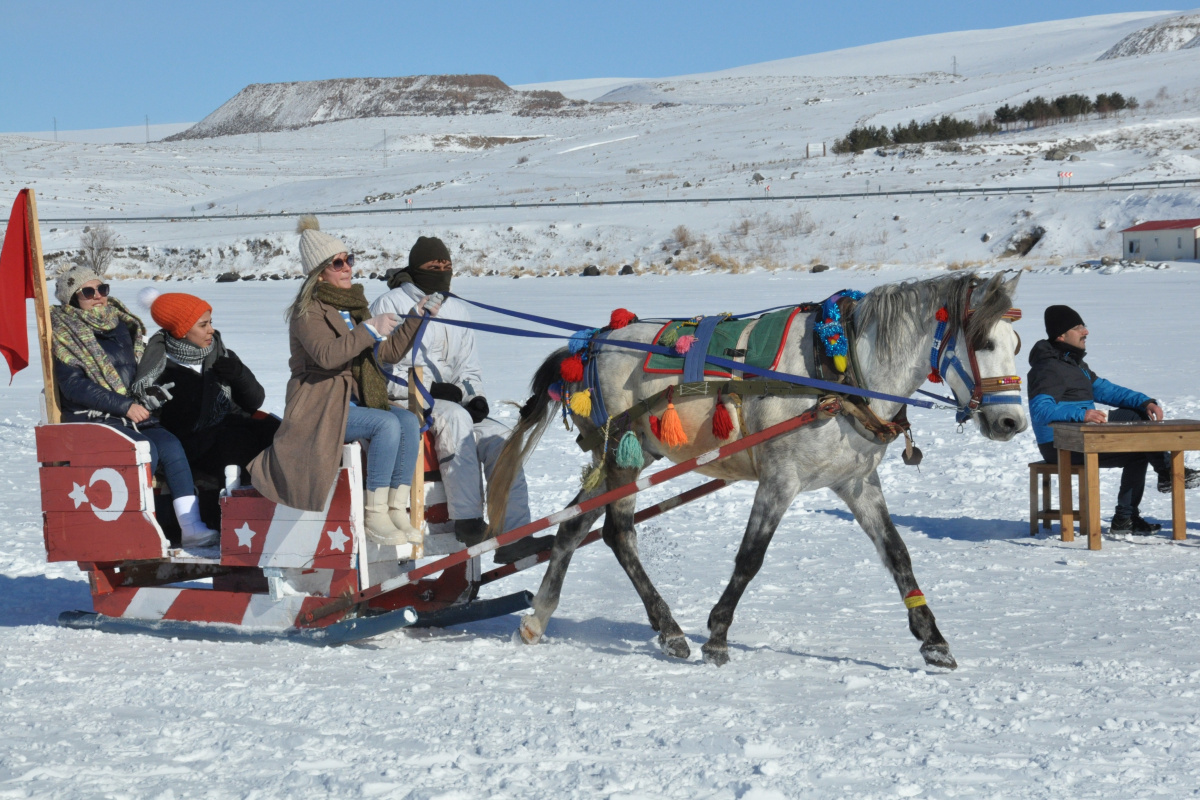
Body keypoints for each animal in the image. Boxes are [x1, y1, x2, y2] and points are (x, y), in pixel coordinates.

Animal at [482, 272, 1027, 666]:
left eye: (1017, 342)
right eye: (981, 342)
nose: (1011, 422)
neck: (841, 369)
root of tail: (590, 343)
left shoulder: (857, 483)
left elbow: (898, 555)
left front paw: (932, 639)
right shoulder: (779, 480)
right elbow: (750, 558)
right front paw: (718, 635)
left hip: (627, 458)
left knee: (574, 526)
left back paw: (539, 618)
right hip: (621, 457)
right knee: (619, 534)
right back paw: (669, 630)